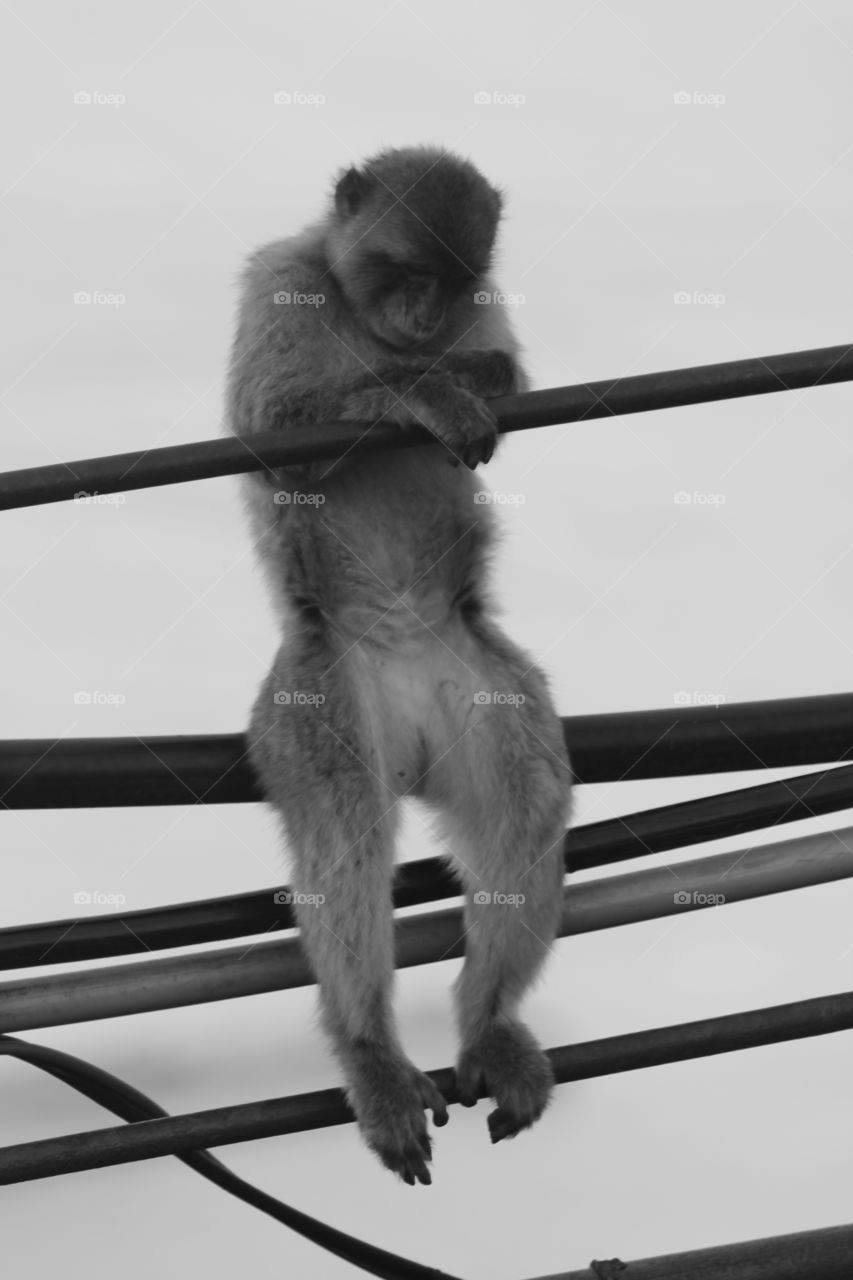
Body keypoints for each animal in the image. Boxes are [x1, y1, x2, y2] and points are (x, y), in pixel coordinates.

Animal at [226, 146, 571, 1186]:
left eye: (450, 284)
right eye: (407, 272)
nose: (423, 320)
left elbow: (504, 369)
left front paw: (459, 369)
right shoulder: (279, 280)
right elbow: (269, 427)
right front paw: (424, 387)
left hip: (478, 679)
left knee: (526, 805)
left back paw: (489, 1022)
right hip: (318, 696)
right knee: (347, 836)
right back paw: (369, 1050)